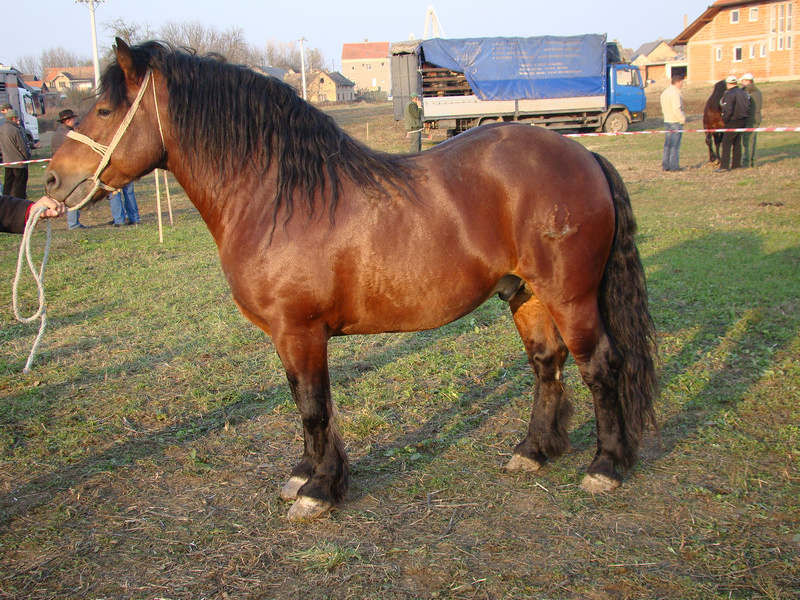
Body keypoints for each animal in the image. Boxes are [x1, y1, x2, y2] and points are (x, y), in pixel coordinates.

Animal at [45, 39, 656, 524]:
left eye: (104, 109)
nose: (52, 180)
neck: (278, 197)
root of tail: (584, 153)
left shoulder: (300, 330)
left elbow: (314, 407)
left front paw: (318, 491)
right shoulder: (290, 337)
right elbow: (303, 401)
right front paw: (306, 474)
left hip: (570, 296)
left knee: (601, 366)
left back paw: (605, 465)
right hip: (524, 293)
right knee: (546, 365)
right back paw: (533, 451)